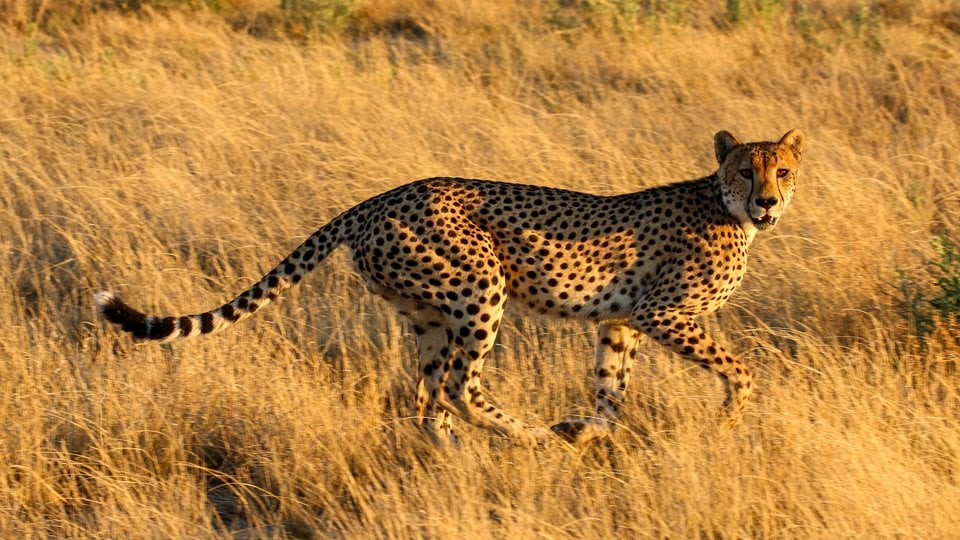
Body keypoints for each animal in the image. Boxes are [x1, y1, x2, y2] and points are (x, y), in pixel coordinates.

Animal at [95, 129, 805, 446]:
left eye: (783, 171)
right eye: (746, 171)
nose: (769, 202)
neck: (727, 207)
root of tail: (383, 194)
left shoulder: (621, 321)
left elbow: (611, 390)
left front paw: (586, 429)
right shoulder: (663, 313)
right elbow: (739, 369)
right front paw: (728, 420)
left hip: (428, 313)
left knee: (426, 394)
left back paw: (454, 450)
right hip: (480, 287)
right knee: (461, 386)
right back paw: (525, 435)